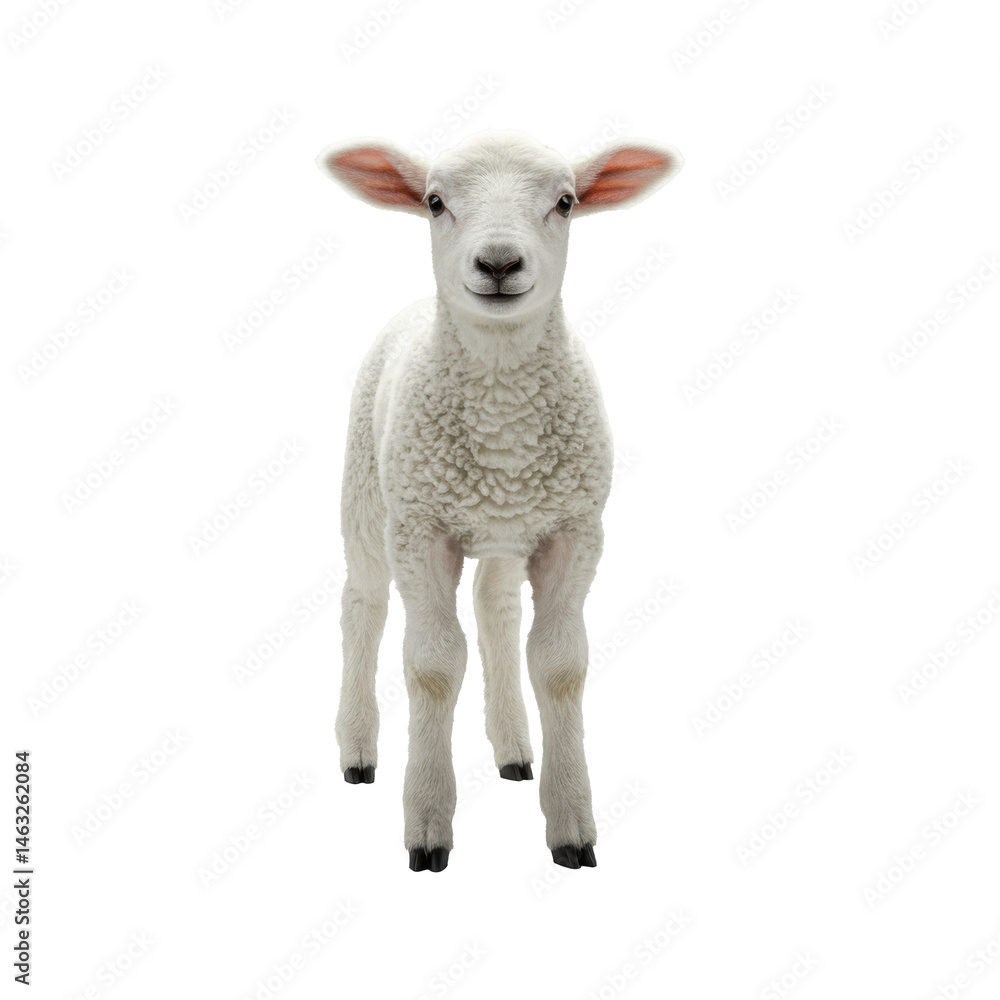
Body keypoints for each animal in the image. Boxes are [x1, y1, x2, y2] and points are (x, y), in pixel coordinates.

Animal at [316, 129, 682, 871]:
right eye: (434, 202)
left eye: (566, 202)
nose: (499, 263)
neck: (503, 402)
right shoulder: (420, 529)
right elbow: (431, 666)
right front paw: (427, 825)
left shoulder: (574, 530)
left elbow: (560, 664)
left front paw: (571, 825)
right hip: (368, 495)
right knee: (362, 607)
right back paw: (358, 750)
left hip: (507, 528)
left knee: (495, 609)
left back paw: (513, 747)